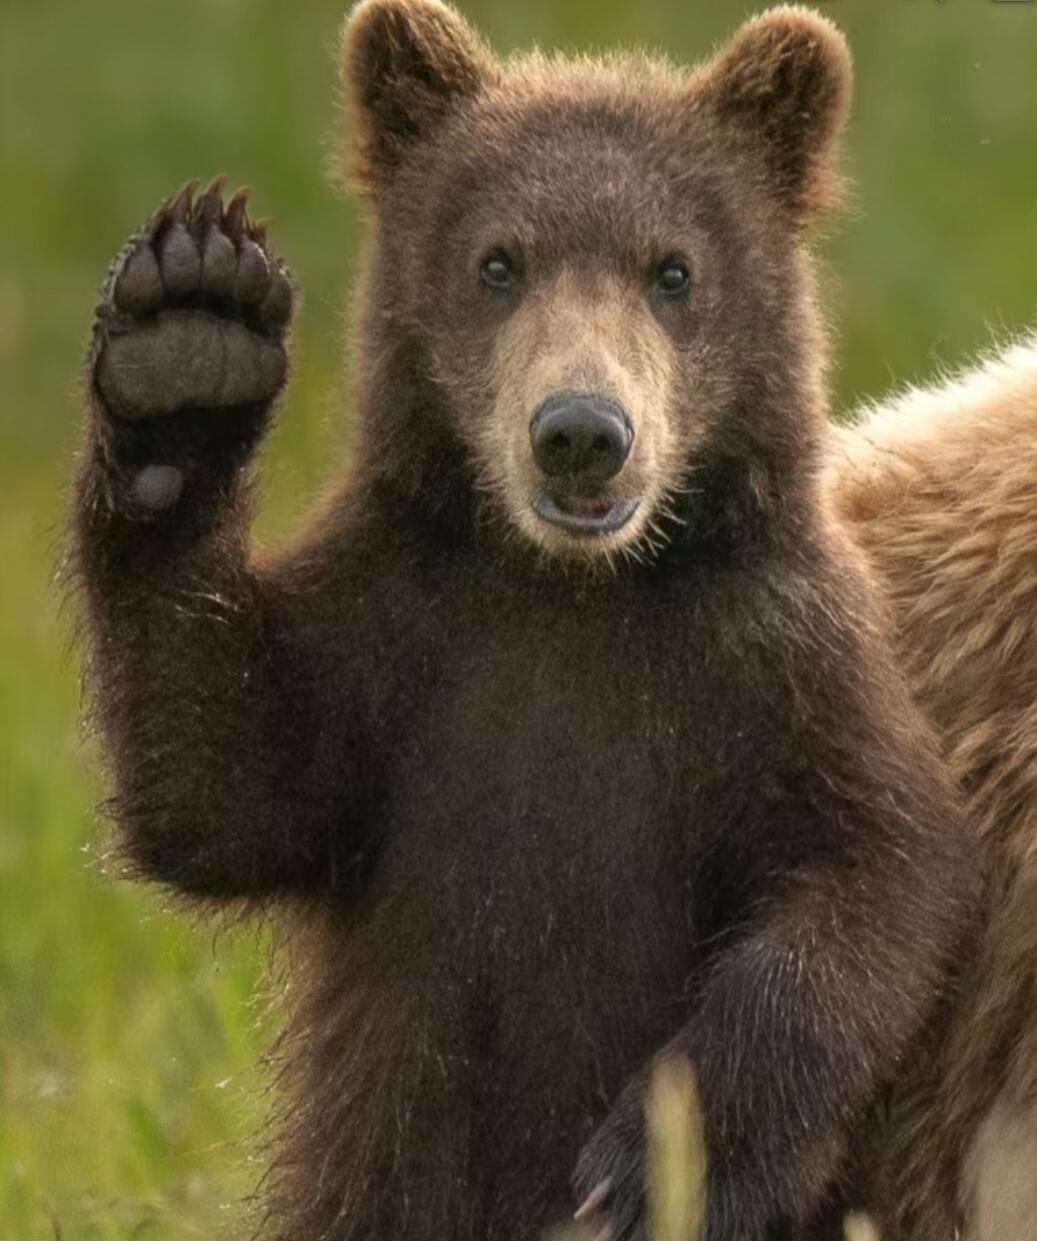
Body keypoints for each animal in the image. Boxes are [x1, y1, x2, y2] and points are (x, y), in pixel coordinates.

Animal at [67, 3, 977, 1239]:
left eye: (672, 269)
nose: (581, 431)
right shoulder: (403, 650)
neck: (569, 588)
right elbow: (218, 781)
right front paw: (187, 340)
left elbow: (862, 883)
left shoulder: (771, 661)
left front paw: (647, 1167)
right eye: (498, 260)